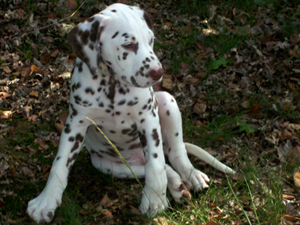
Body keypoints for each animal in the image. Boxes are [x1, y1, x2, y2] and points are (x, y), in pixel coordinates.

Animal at [27, 3, 234, 223]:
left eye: (151, 40)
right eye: (128, 45)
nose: (158, 73)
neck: (112, 85)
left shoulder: (148, 121)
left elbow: (155, 164)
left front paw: (154, 201)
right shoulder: (75, 124)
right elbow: (59, 164)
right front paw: (46, 202)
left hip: (167, 101)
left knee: (174, 154)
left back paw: (191, 175)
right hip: (108, 166)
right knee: (159, 167)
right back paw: (177, 186)